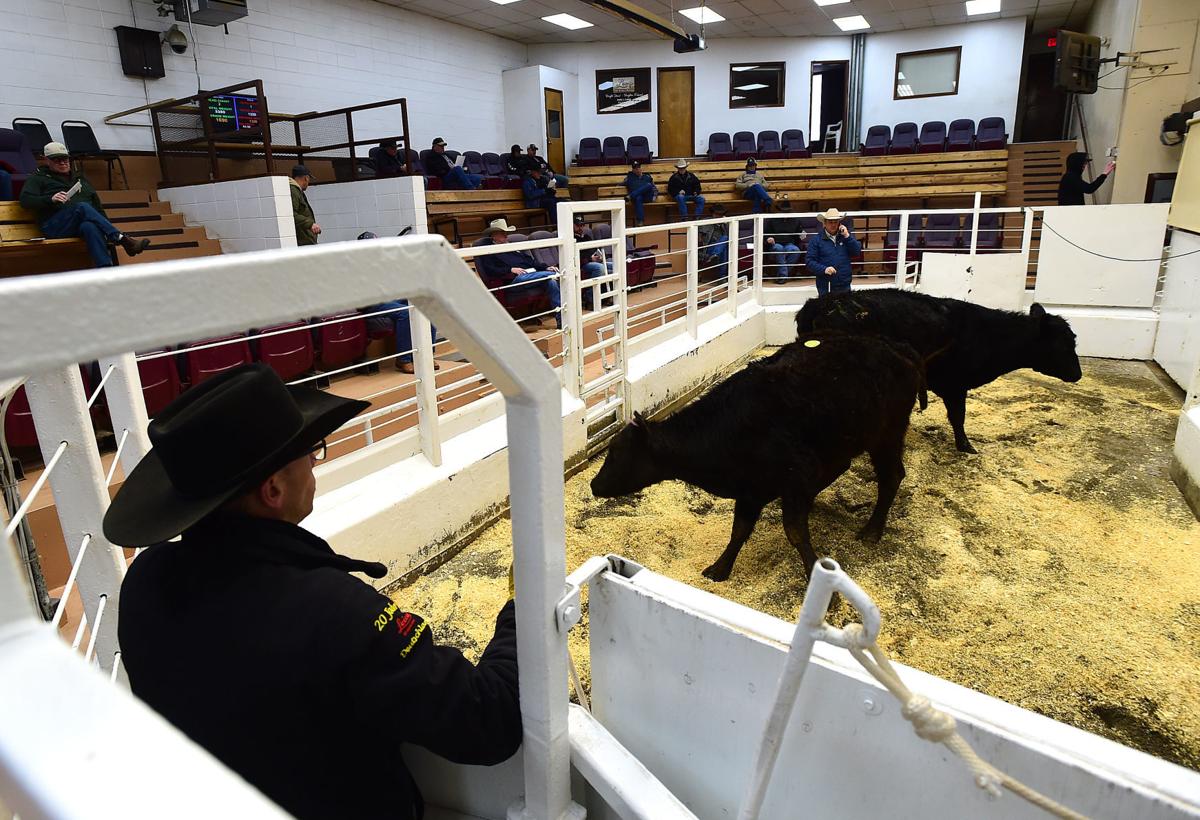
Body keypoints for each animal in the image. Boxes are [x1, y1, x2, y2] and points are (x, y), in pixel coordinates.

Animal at [592, 333, 926, 583]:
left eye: (617, 453)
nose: (594, 485)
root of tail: (898, 348)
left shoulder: (794, 476)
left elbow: (794, 531)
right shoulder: (750, 490)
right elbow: (739, 530)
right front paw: (720, 568)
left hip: (887, 435)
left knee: (892, 476)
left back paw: (872, 530)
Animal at [796, 288, 1089, 456]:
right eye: (1065, 343)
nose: (1077, 374)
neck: (989, 334)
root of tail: (820, 304)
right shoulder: (956, 386)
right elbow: (958, 417)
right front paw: (966, 446)